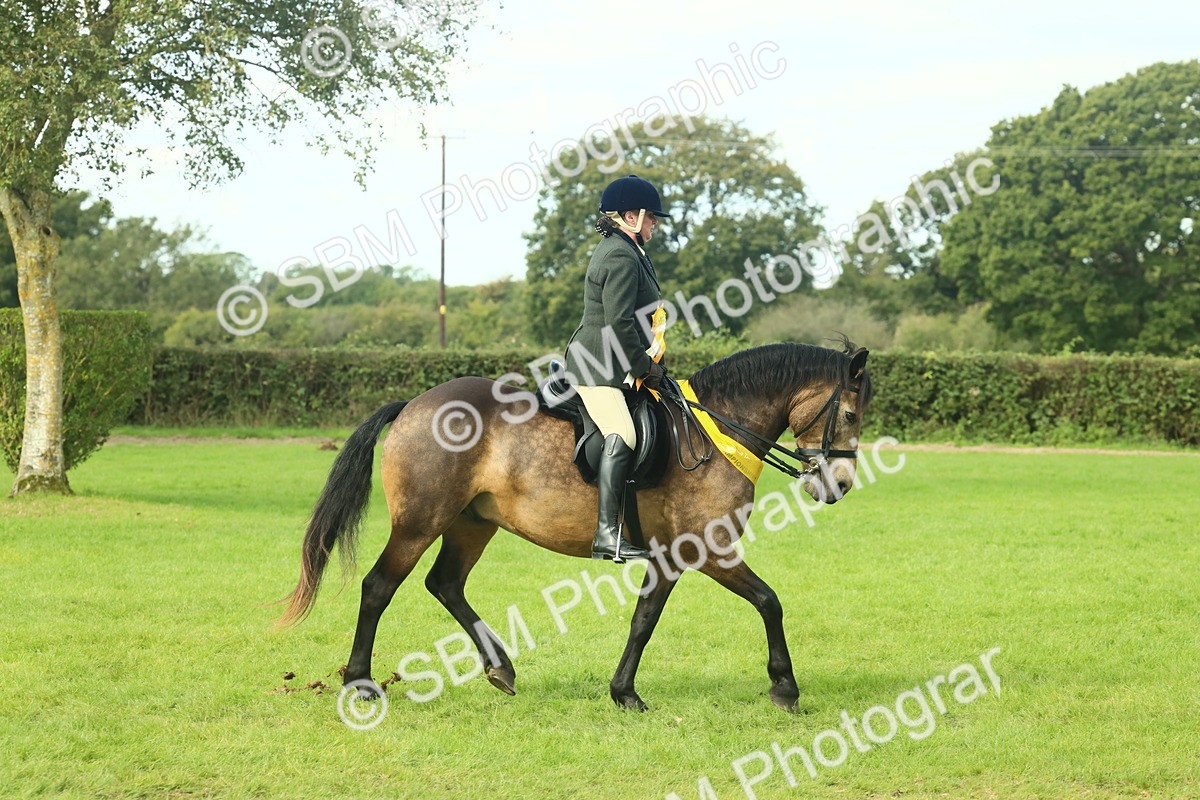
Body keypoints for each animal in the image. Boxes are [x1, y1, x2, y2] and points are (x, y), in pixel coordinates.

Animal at [278, 339, 873, 712]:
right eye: (850, 415)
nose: (840, 485)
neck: (716, 430)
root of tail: (412, 406)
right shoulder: (706, 548)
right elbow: (769, 601)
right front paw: (785, 688)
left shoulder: (669, 557)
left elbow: (643, 620)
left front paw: (624, 692)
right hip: (419, 523)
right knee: (380, 587)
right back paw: (361, 684)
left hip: (472, 523)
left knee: (445, 583)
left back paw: (500, 668)